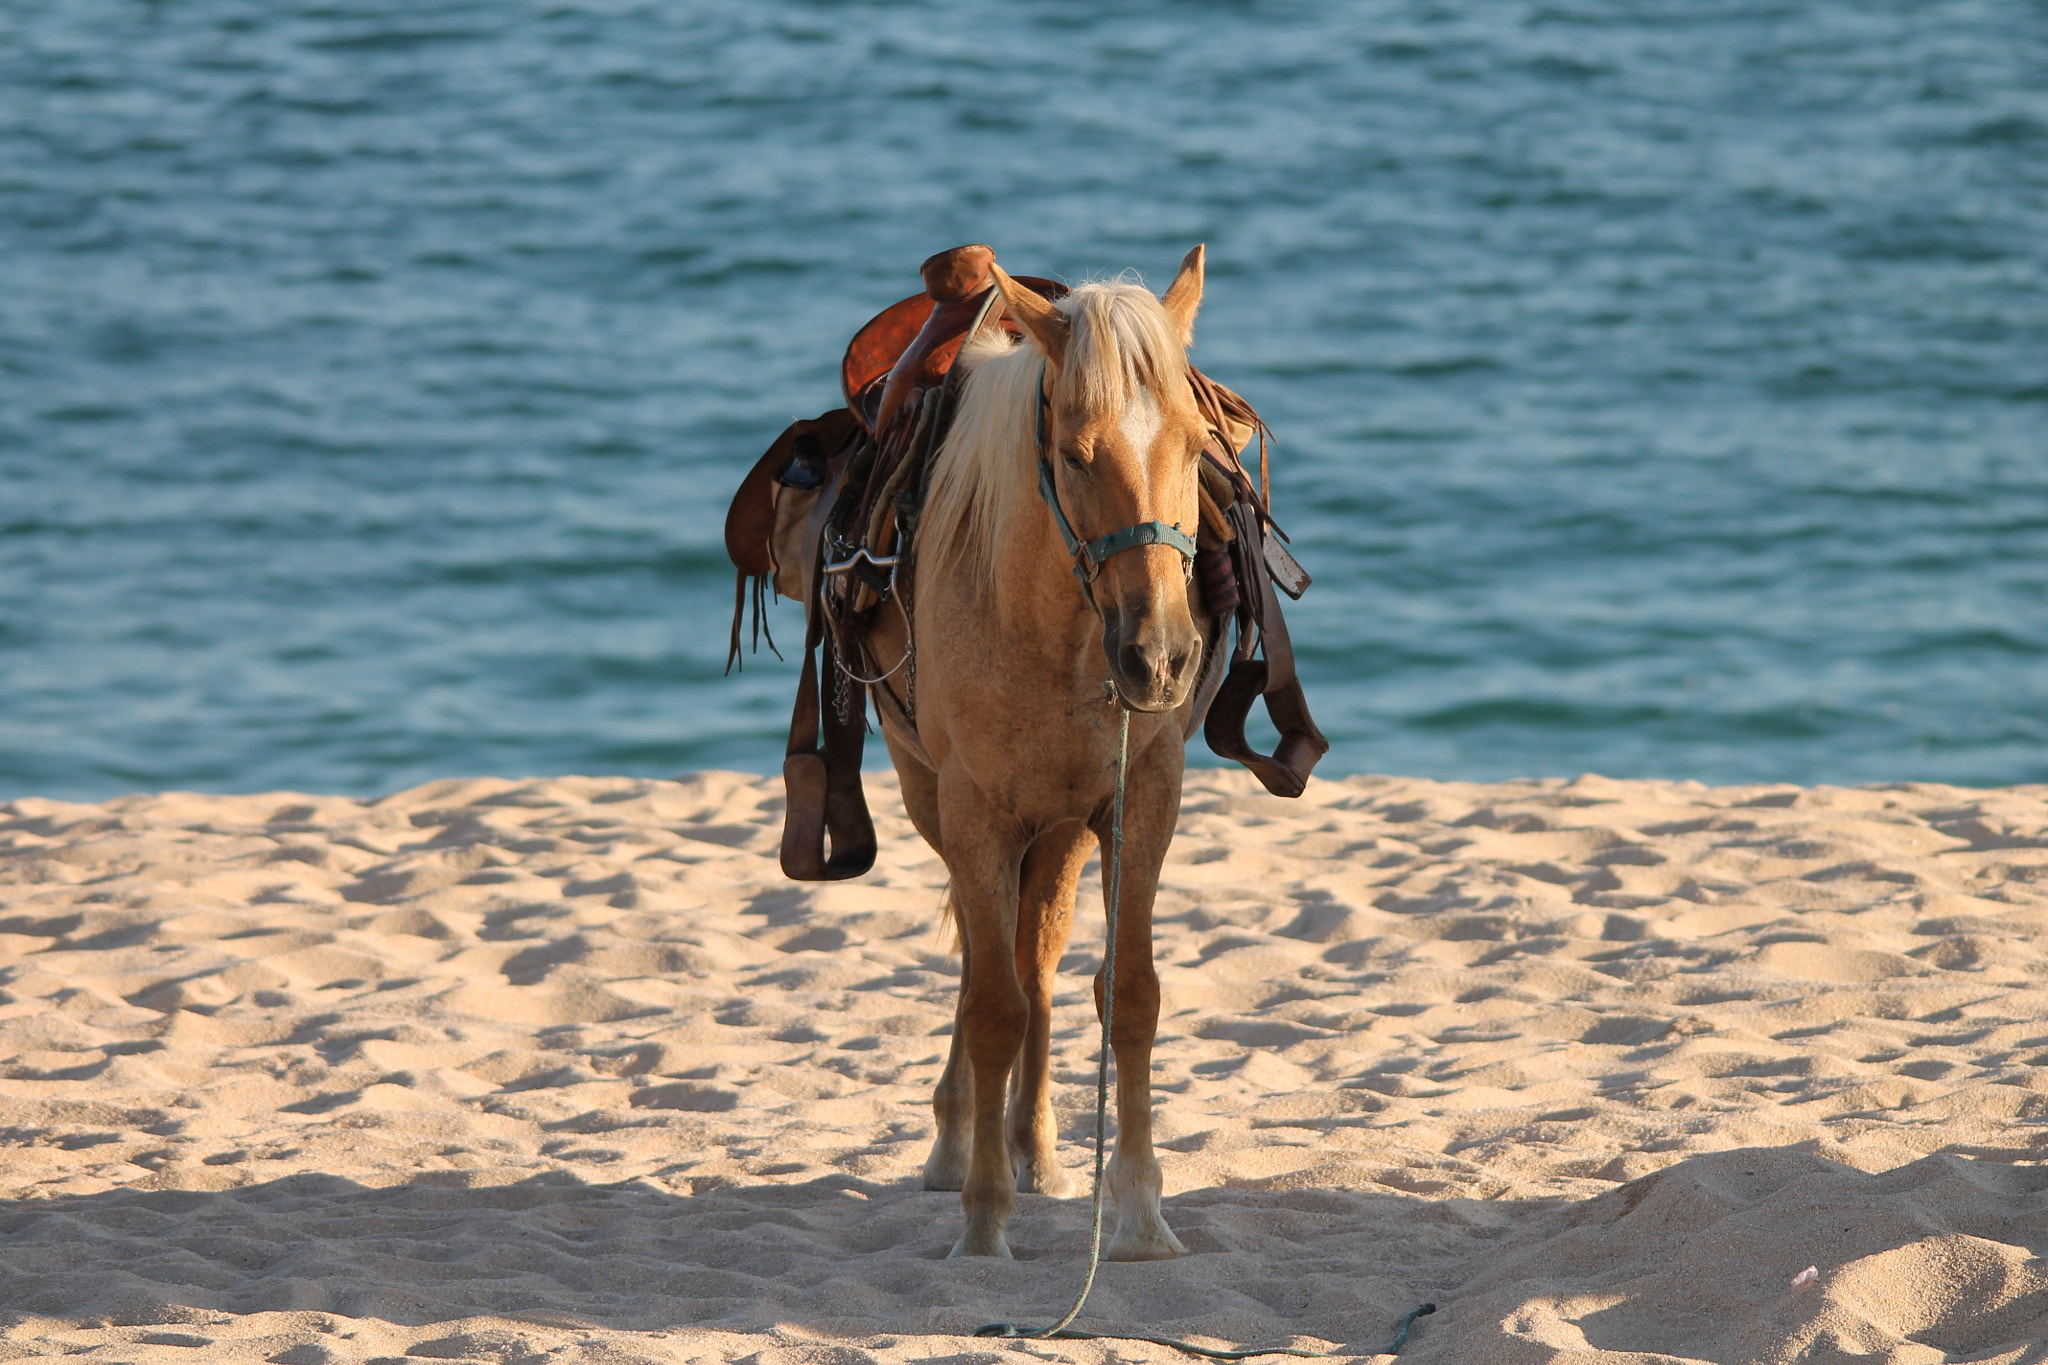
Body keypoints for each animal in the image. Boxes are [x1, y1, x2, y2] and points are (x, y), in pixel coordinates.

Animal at [856, 248, 1214, 1261]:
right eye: (1076, 454)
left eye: (1195, 444)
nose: (1161, 658)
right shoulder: (975, 810)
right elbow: (990, 1006)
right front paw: (983, 1221)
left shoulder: (1139, 801)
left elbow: (1127, 994)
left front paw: (1139, 1211)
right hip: (936, 800)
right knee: (993, 967)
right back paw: (962, 1144)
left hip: (1057, 831)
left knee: (1037, 957)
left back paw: (1037, 1147)